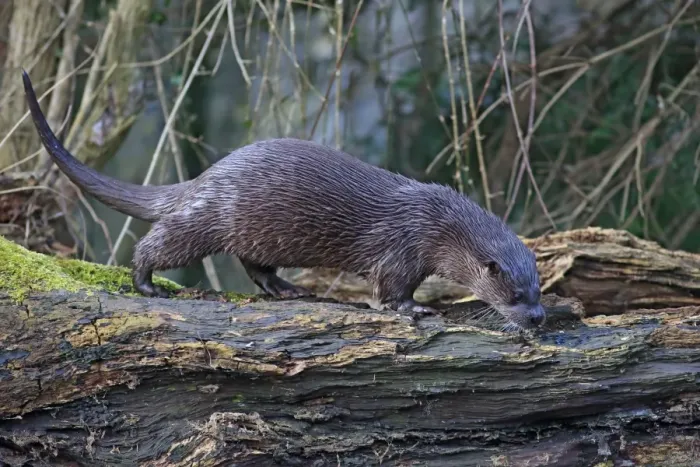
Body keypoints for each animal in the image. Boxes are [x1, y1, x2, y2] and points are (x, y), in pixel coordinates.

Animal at [22, 70, 545, 329]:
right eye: (516, 295)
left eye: (539, 291)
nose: (538, 319)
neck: (437, 224)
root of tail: (207, 176)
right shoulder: (401, 248)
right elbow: (389, 290)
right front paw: (414, 310)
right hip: (209, 218)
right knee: (159, 243)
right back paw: (148, 286)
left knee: (255, 265)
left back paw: (287, 288)